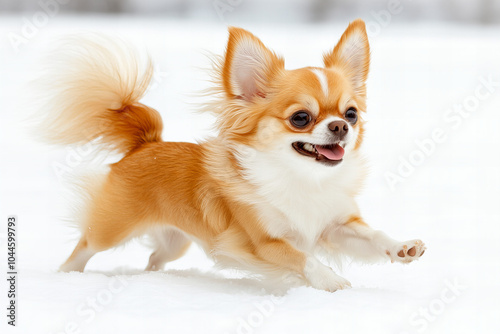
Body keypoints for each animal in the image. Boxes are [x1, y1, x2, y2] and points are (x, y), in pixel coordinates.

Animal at [41, 19, 426, 290]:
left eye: (351, 114)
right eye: (301, 118)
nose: (340, 127)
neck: (303, 178)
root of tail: (146, 144)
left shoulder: (336, 226)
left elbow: (373, 236)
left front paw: (402, 247)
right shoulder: (263, 242)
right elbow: (302, 258)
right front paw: (330, 280)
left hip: (175, 243)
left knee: (154, 256)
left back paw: (156, 279)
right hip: (110, 230)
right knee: (83, 248)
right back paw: (66, 276)